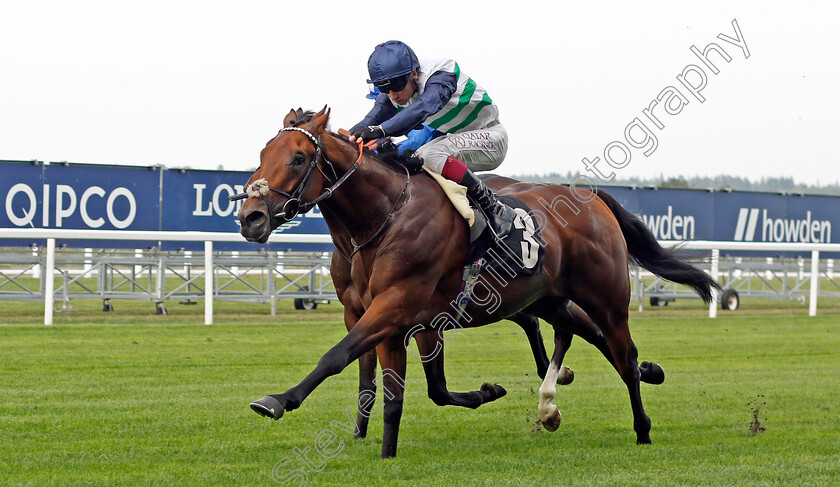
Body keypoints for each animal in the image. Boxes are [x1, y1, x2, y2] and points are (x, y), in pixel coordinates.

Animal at [235, 106, 716, 458]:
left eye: (298, 157)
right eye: (261, 155)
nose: (251, 217)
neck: (386, 215)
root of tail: (591, 197)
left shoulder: (395, 305)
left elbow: (339, 357)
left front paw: (277, 400)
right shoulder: (391, 317)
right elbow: (394, 388)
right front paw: (383, 447)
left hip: (607, 297)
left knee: (621, 352)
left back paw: (641, 425)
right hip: (547, 298)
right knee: (583, 335)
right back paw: (580, 393)